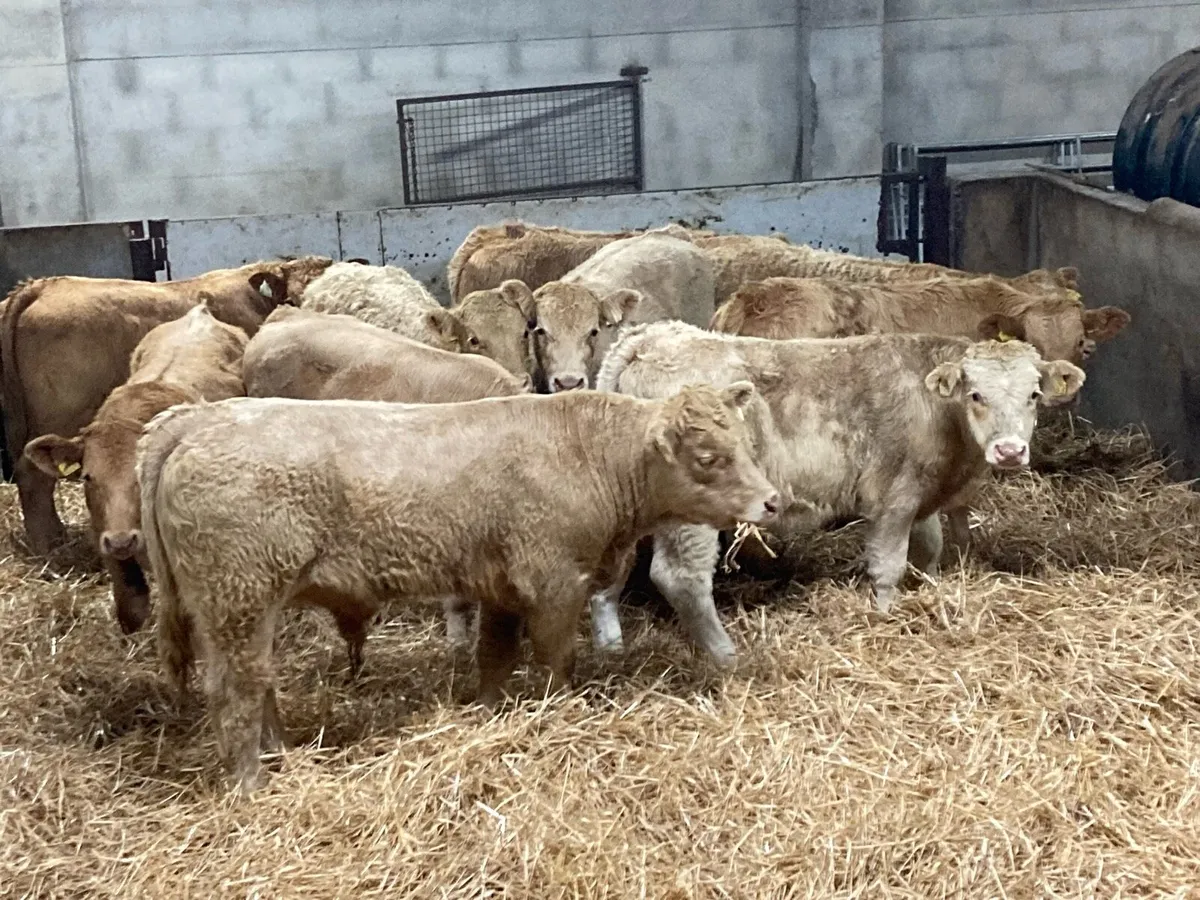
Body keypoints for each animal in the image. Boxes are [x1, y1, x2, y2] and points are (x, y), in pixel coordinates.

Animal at [137, 385, 780, 792]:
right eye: (707, 457)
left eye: (747, 446)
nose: (771, 501)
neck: (587, 452)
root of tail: (198, 418)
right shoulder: (554, 581)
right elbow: (556, 660)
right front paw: (559, 715)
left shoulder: (501, 587)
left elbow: (494, 656)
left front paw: (490, 714)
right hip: (238, 597)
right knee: (235, 689)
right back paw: (252, 782)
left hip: (242, 607)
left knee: (258, 680)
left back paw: (282, 753)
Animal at [587, 322, 1086, 664]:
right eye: (976, 394)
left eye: (1034, 394)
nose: (1009, 450)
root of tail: (650, 337)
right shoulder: (893, 497)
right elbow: (888, 567)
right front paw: (885, 618)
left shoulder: (922, 497)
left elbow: (930, 549)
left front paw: (931, 595)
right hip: (692, 515)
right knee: (682, 577)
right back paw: (726, 655)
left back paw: (611, 649)